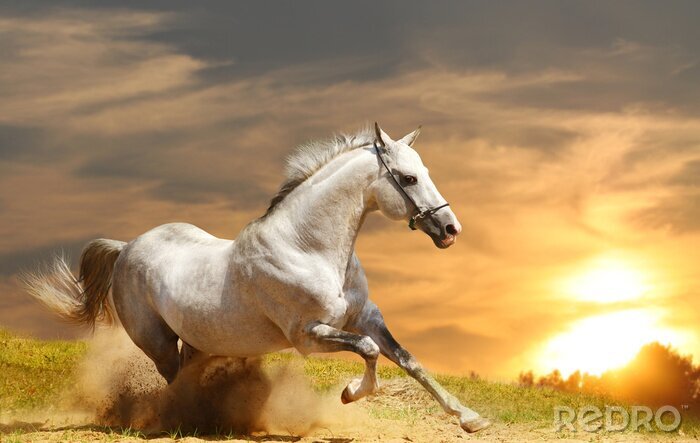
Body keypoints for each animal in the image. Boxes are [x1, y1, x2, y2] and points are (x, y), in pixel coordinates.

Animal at [24, 123, 491, 433]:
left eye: (426, 172)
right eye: (409, 178)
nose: (451, 229)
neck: (308, 248)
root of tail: (126, 247)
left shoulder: (366, 317)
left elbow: (408, 359)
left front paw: (471, 419)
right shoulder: (308, 336)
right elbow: (370, 350)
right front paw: (349, 393)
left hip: (199, 341)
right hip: (156, 341)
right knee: (173, 379)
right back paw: (185, 421)